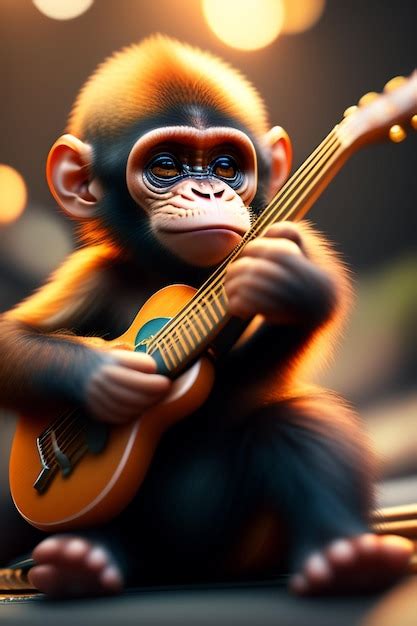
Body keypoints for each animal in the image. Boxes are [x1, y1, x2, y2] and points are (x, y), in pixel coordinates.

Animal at [0, 35, 410, 596]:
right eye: (166, 166)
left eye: (225, 166)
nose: (209, 191)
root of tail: (186, 571)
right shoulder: (93, 273)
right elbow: (12, 336)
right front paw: (105, 376)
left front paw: (292, 282)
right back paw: (78, 561)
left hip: (241, 545)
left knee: (298, 422)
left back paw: (348, 560)